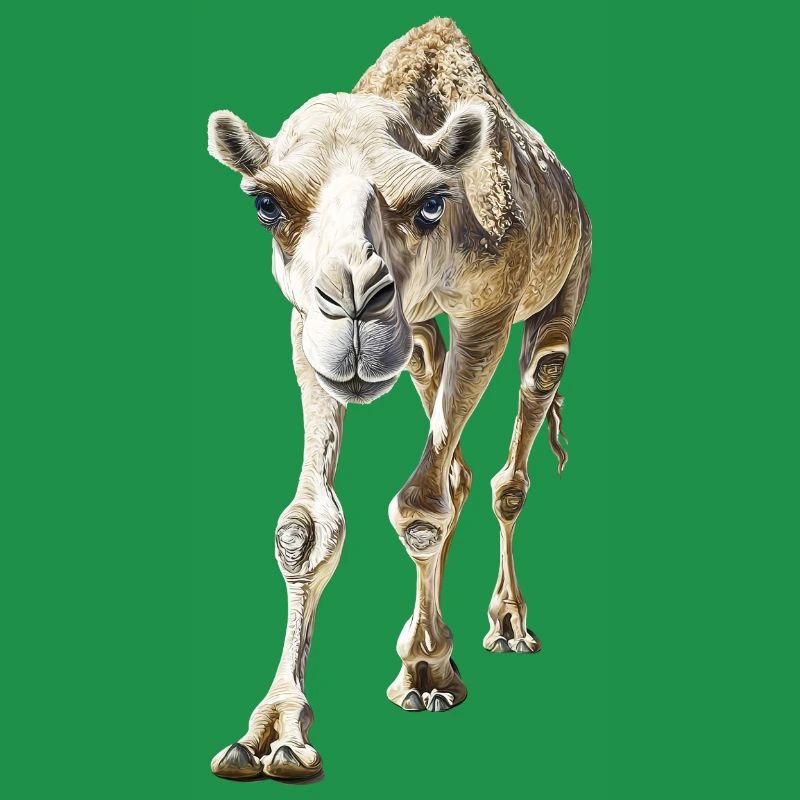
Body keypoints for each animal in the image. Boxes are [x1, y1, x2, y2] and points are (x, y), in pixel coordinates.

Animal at [206, 17, 591, 781]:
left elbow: (420, 507)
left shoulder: (488, 313)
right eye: (267, 205)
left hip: (567, 284)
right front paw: (271, 732)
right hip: (415, 337)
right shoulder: (305, 325)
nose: (354, 300)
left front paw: (427, 674)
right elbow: (305, 526)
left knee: (522, 429)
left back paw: (506, 627)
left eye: (431, 202)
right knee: (455, 457)